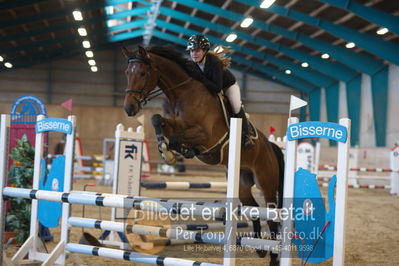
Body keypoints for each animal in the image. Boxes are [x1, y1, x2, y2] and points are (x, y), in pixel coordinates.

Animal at [122, 45, 284, 264]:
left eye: (142, 73)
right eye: (127, 73)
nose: (129, 108)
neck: (184, 93)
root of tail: (270, 146)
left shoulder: (205, 135)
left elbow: (177, 139)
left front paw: (178, 152)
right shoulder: (175, 124)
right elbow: (157, 119)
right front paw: (166, 150)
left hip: (266, 182)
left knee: (271, 214)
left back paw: (273, 255)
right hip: (242, 182)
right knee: (254, 210)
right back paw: (259, 248)